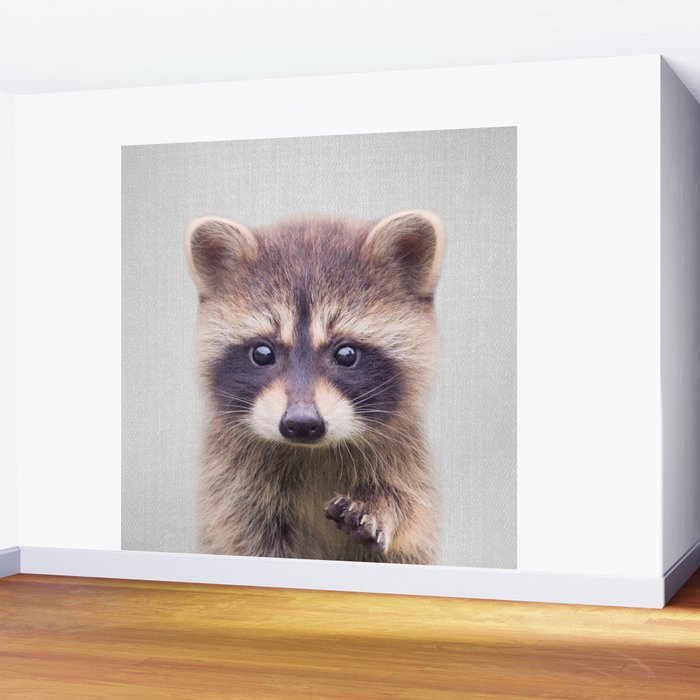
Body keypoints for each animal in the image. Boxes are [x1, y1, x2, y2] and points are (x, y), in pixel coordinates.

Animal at [185, 210, 445, 565]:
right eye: (262, 353)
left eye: (346, 354)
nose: (301, 423)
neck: (312, 452)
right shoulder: (233, 487)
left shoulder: (405, 459)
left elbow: (410, 508)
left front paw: (382, 507)